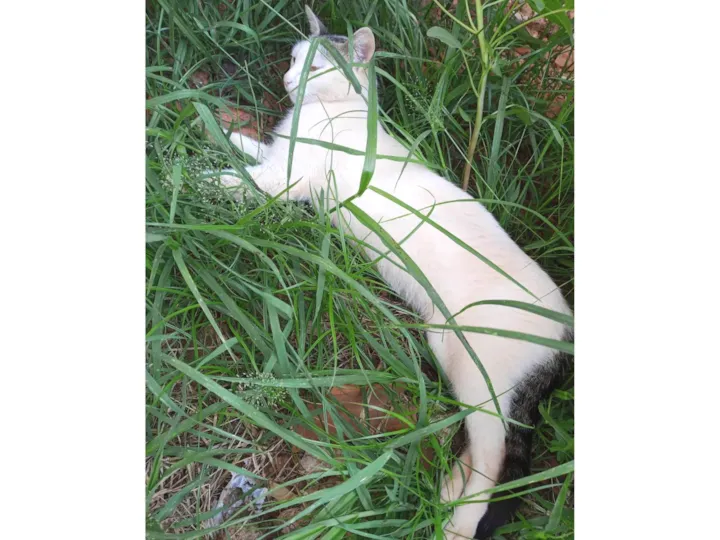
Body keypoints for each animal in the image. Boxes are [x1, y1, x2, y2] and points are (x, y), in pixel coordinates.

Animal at [211, 6, 573, 540]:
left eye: (318, 67)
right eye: (295, 59)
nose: (288, 79)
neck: (332, 114)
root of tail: (566, 336)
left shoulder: (287, 179)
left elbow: (240, 181)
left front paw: (192, 176)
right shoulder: (280, 160)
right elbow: (251, 148)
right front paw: (214, 126)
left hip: (485, 379)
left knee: (496, 459)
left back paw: (457, 523)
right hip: (449, 355)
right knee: (480, 450)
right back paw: (447, 493)